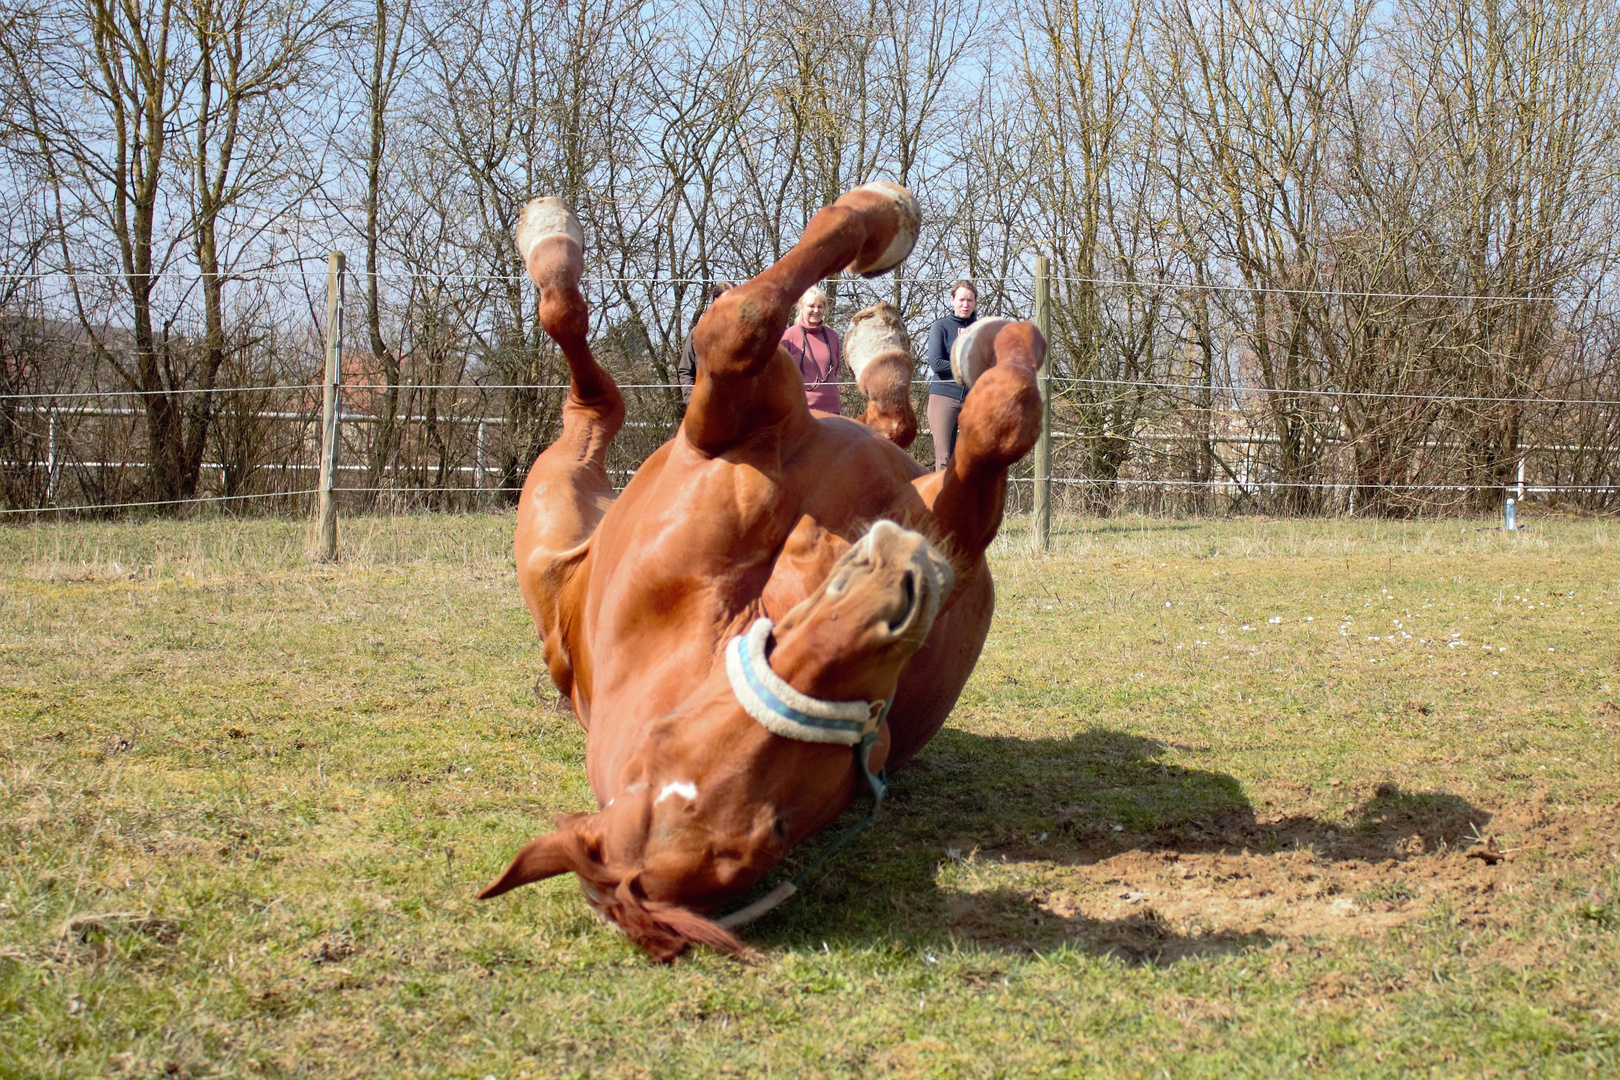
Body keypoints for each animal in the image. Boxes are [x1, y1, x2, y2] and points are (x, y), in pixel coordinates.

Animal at [473, 181, 1043, 958]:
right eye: (772, 835)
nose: (896, 582)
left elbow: (999, 417)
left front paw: (899, 239)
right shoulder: (934, 520)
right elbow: (740, 326)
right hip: (548, 518)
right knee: (592, 394)